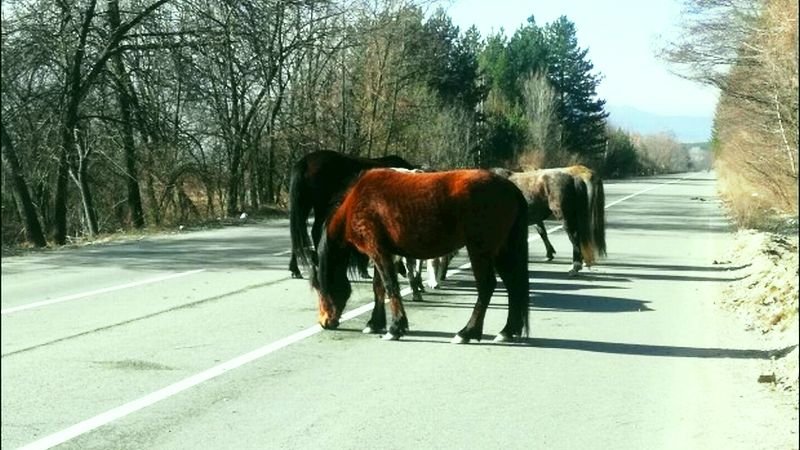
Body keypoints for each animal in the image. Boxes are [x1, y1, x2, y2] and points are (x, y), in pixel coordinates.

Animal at [288, 150, 416, 278]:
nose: (403, 271)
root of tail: (304, 162)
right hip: (320, 207)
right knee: (313, 232)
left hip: (305, 205)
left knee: (296, 235)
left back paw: (296, 268)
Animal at [312, 169, 532, 344]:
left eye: (318, 286)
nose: (324, 322)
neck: (357, 202)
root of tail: (510, 188)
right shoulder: (384, 254)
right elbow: (379, 288)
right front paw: (375, 323)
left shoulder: (378, 252)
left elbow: (390, 287)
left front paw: (395, 328)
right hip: (502, 251)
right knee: (513, 286)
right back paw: (507, 331)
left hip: (480, 250)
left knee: (486, 287)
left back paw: (467, 333)